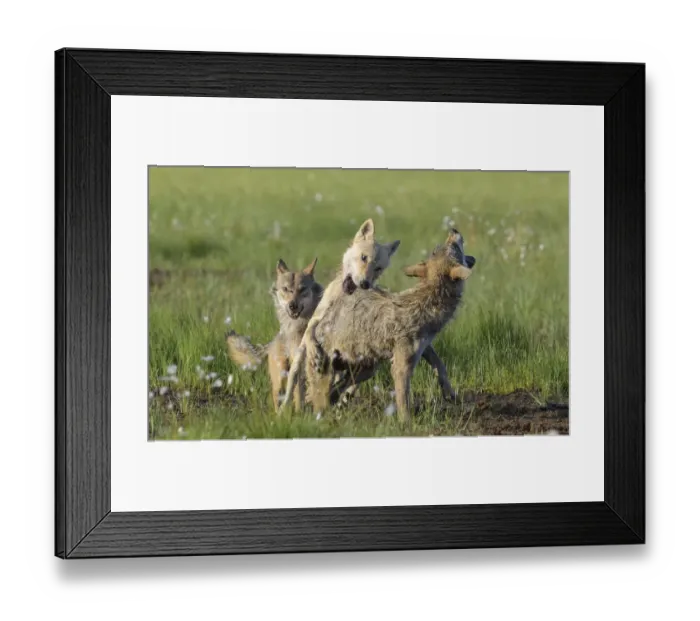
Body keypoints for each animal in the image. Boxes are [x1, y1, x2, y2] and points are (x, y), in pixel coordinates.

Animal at [226, 257, 323, 411]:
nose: (292, 305)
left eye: (302, 289)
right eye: (286, 289)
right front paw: (300, 413)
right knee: (278, 397)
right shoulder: (298, 365)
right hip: (281, 376)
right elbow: (298, 394)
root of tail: (273, 341)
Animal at [284, 229, 475, 421]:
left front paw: (450, 394)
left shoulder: (423, 347)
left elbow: (440, 365)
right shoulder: (401, 366)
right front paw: (406, 423)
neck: (427, 301)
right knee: (318, 397)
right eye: (454, 246)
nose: (454, 230)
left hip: (367, 369)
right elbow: (404, 401)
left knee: (335, 391)